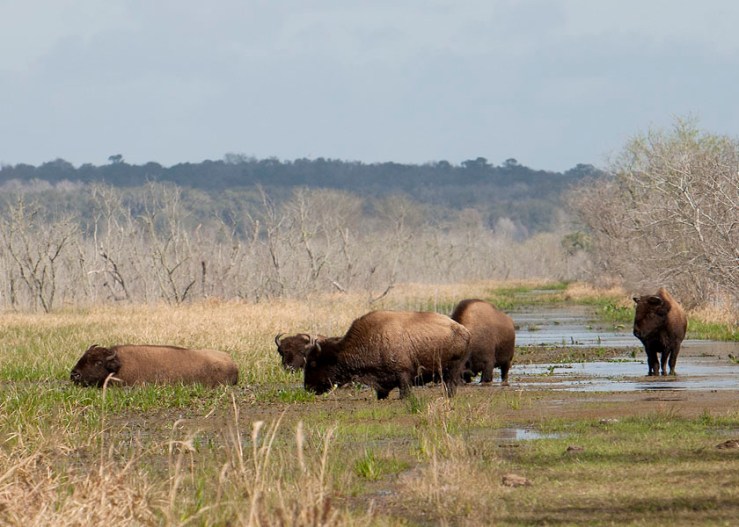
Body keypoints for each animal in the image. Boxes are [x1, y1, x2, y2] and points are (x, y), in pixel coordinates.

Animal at [303, 310, 471, 400]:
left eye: (313, 363)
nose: (307, 388)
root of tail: (464, 330)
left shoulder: (404, 375)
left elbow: (404, 391)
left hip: (453, 369)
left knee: (451, 384)